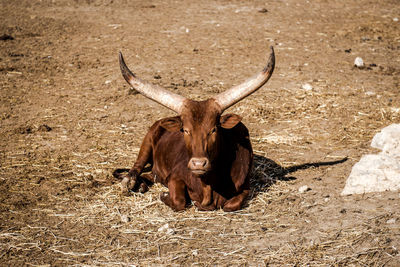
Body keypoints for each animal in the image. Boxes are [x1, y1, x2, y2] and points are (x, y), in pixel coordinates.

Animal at [115, 47, 276, 213]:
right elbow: (179, 201)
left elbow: (230, 205)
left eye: (214, 129)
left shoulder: (245, 187)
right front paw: (164, 195)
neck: (207, 185)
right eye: (185, 130)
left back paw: (141, 185)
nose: (198, 164)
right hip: (146, 143)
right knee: (137, 166)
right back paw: (129, 183)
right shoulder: (174, 177)